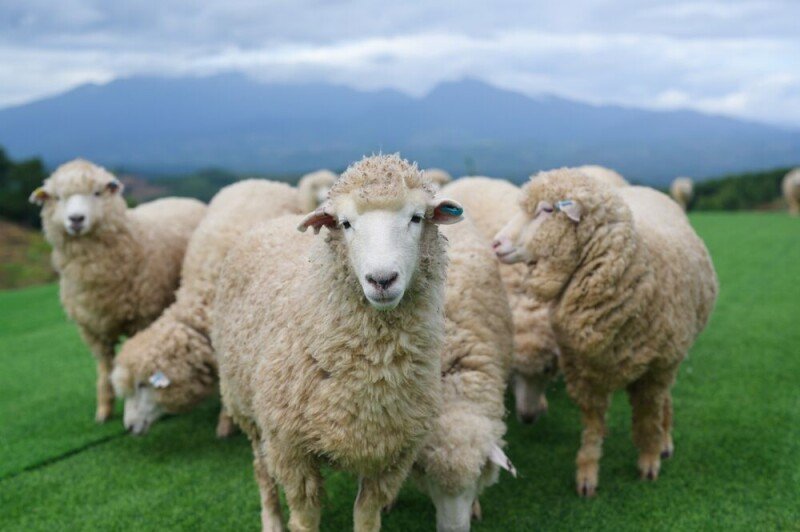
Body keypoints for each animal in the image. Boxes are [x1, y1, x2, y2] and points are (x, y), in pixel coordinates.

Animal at [29, 159, 206, 422]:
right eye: (58, 197)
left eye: (97, 193)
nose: (76, 219)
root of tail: (181, 198)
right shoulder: (91, 329)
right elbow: (104, 368)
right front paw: (104, 410)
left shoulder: (142, 318)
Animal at [212, 154, 465, 531]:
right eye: (345, 223)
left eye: (417, 217)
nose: (382, 280)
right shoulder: (290, 450)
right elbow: (304, 519)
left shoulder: (392, 453)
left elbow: (366, 515)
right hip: (247, 410)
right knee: (262, 471)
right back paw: (271, 519)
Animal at [492, 168, 718, 497]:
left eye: (547, 210)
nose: (495, 243)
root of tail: (646, 189)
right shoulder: (583, 372)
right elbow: (592, 425)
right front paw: (587, 473)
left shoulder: (655, 369)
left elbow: (648, 416)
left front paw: (649, 460)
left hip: (671, 356)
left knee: (664, 399)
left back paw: (664, 440)